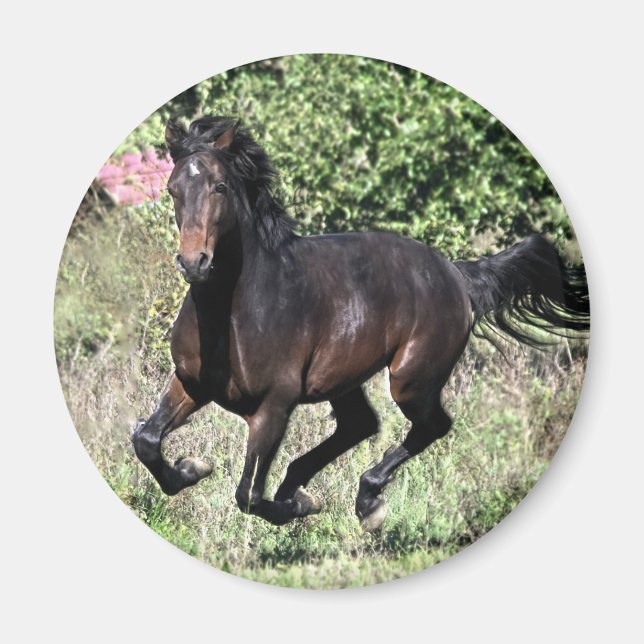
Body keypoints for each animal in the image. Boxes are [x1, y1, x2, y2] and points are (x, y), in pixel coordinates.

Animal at [132, 116, 590, 531]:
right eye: (172, 189)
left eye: (220, 187)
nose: (194, 262)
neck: (235, 314)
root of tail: (456, 274)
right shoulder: (190, 383)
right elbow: (146, 441)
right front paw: (191, 469)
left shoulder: (273, 406)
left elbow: (249, 494)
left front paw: (298, 507)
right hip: (344, 379)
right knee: (360, 424)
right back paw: (303, 487)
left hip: (410, 379)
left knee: (429, 426)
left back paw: (366, 501)